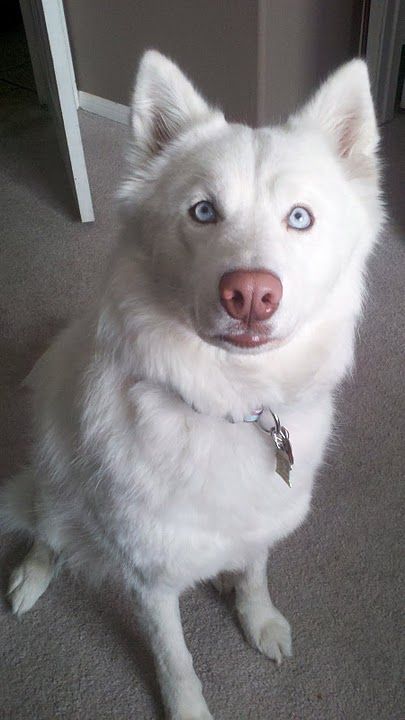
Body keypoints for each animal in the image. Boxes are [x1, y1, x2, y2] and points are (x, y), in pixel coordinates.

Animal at [2, 52, 382, 720]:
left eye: (300, 218)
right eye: (204, 211)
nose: (250, 294)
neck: (231, 404)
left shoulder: (259, 521)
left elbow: (255, 573)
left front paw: (257, 618)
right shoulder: (150, 579)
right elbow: (174, 660)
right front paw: (186, 707)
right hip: (53, 472)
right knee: (47, 527)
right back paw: (30, 577)